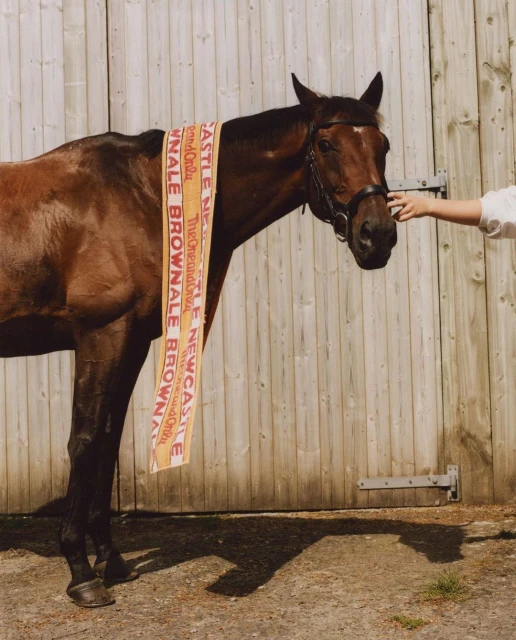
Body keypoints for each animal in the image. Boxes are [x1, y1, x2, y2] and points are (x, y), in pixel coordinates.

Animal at [0, 73, 396, 607]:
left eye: (383, 146)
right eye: (327, 145)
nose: (378, 236)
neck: (143, 197)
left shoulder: (132, 341)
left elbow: (109, 439)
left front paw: (111, 559)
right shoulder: (102, 334)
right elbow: (85, 439)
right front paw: (80, 570)